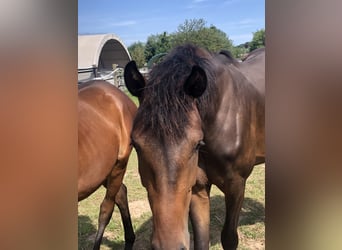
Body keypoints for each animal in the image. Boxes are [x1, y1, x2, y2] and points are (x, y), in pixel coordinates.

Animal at [123, 45, 264, 250]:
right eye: (135, 144)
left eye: (197, 143)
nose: (169, 246)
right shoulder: (197, 189)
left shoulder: (236, 186)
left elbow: (229, 238)